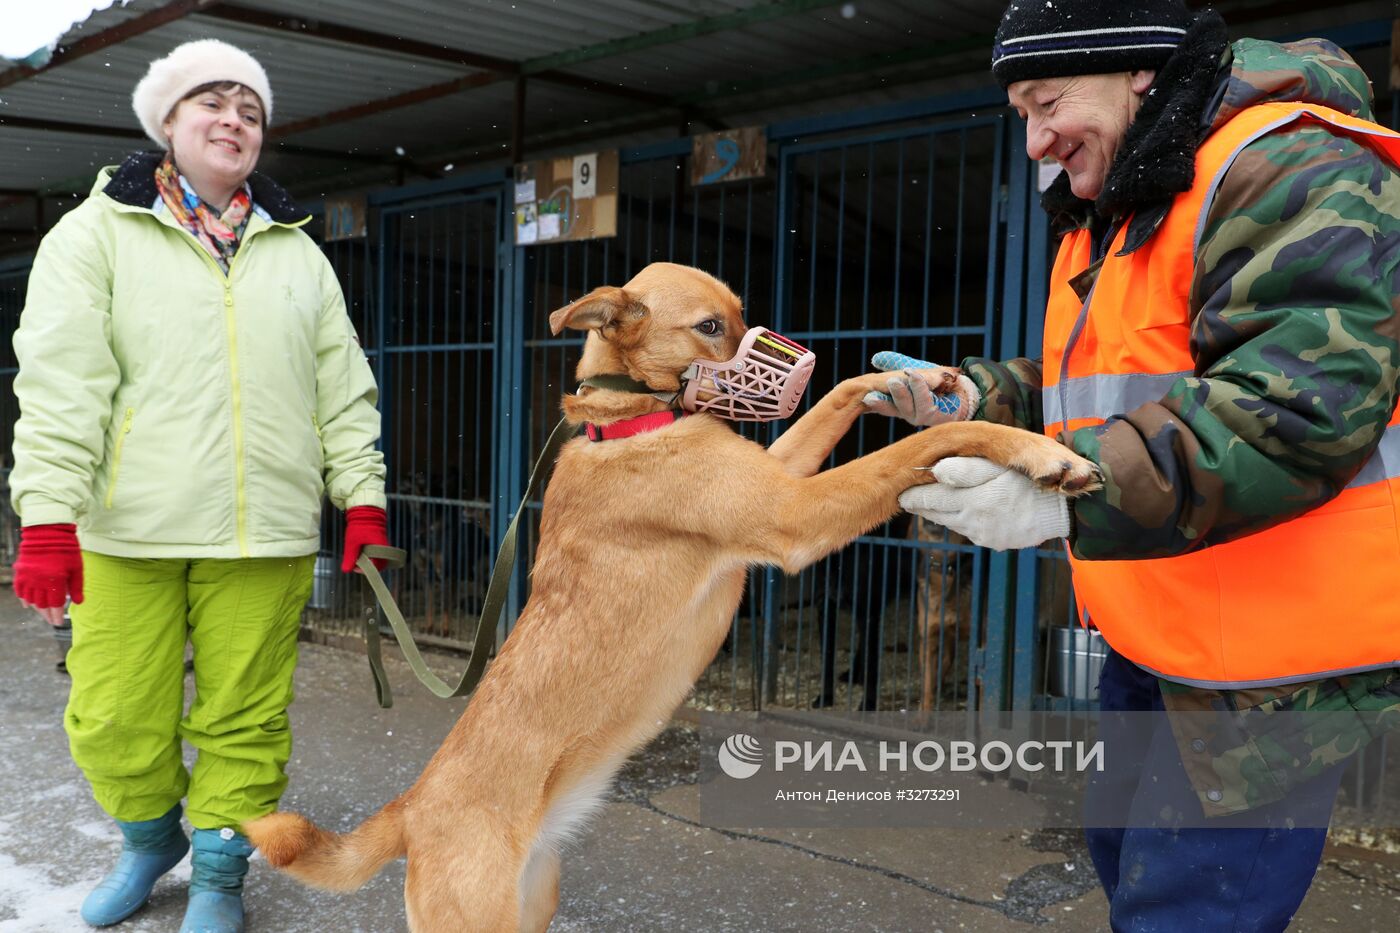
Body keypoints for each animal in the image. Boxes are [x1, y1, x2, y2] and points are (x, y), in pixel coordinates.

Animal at [240, 261, 1097, 930]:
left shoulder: (780, 475)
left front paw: (902, 379)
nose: (803, 361)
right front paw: (1037, 452)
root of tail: (411, 806)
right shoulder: (793, 513)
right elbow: (929, 444)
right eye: (710, 325)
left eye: (744, 315)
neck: (629, 418)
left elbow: (846, 409)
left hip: (535, 902)